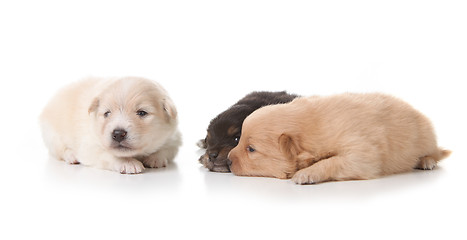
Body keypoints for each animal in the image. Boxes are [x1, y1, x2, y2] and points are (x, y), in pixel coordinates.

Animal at [39, 76, 182, 172]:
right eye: (107, 113)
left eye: (142, 113)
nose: (118, 134)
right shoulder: (90, 146)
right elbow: (109, 155)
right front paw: (128, 163)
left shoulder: (173, 138)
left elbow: (166, 149)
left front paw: (155, 158)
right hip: (52, 135)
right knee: (60, 150)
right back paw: (72, 156)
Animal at [229, 92, 452, 184]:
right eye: (239, 140)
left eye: (251, 149)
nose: (229, 161)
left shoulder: (363, 153)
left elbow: (333, 161)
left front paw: (306, 173)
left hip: (426, 137)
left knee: (435, 153)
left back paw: (426, 161)